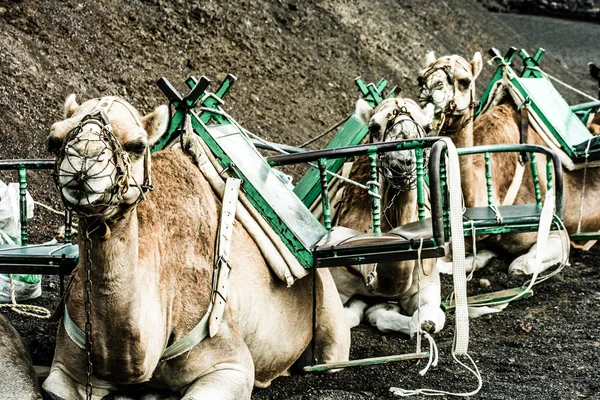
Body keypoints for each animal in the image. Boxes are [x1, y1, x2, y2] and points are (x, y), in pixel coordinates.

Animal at [42, 95, 350, 398]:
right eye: (53, 140)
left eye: (137, 145)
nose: (84, 160)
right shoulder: (64, 371)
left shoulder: (230, 361)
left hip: (331, 325)